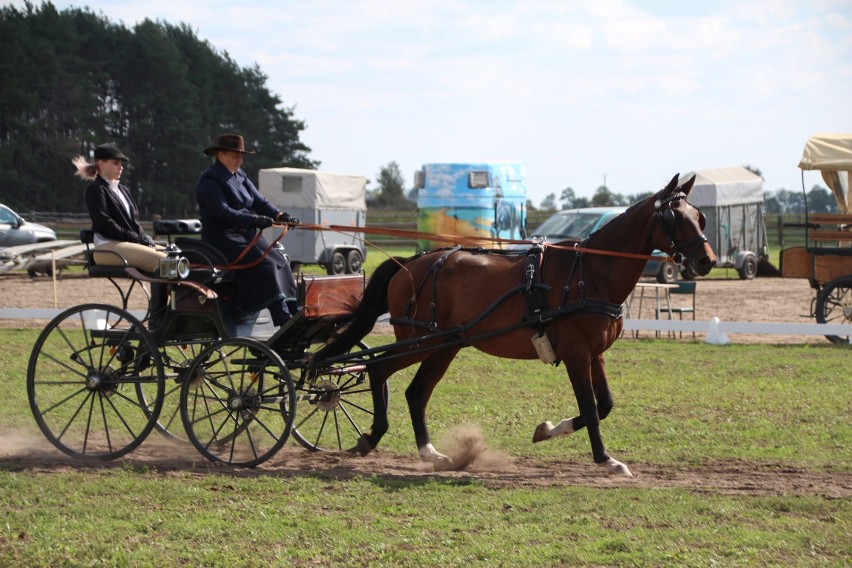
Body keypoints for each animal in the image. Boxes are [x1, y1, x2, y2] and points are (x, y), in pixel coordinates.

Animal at [316, 173, 716, 474]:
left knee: (415, 392)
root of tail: (410, 263)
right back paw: (371, 437)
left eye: (699, 217)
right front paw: (605, 460)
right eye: (673, 218)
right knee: (378, 368)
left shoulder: (595, 354)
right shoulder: (576, 354)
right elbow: (590, 407)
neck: (590, 272)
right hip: (421, 341)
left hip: (446, 345)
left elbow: (604, 405)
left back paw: (431, 453)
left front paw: (547, 430)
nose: (707, 261)